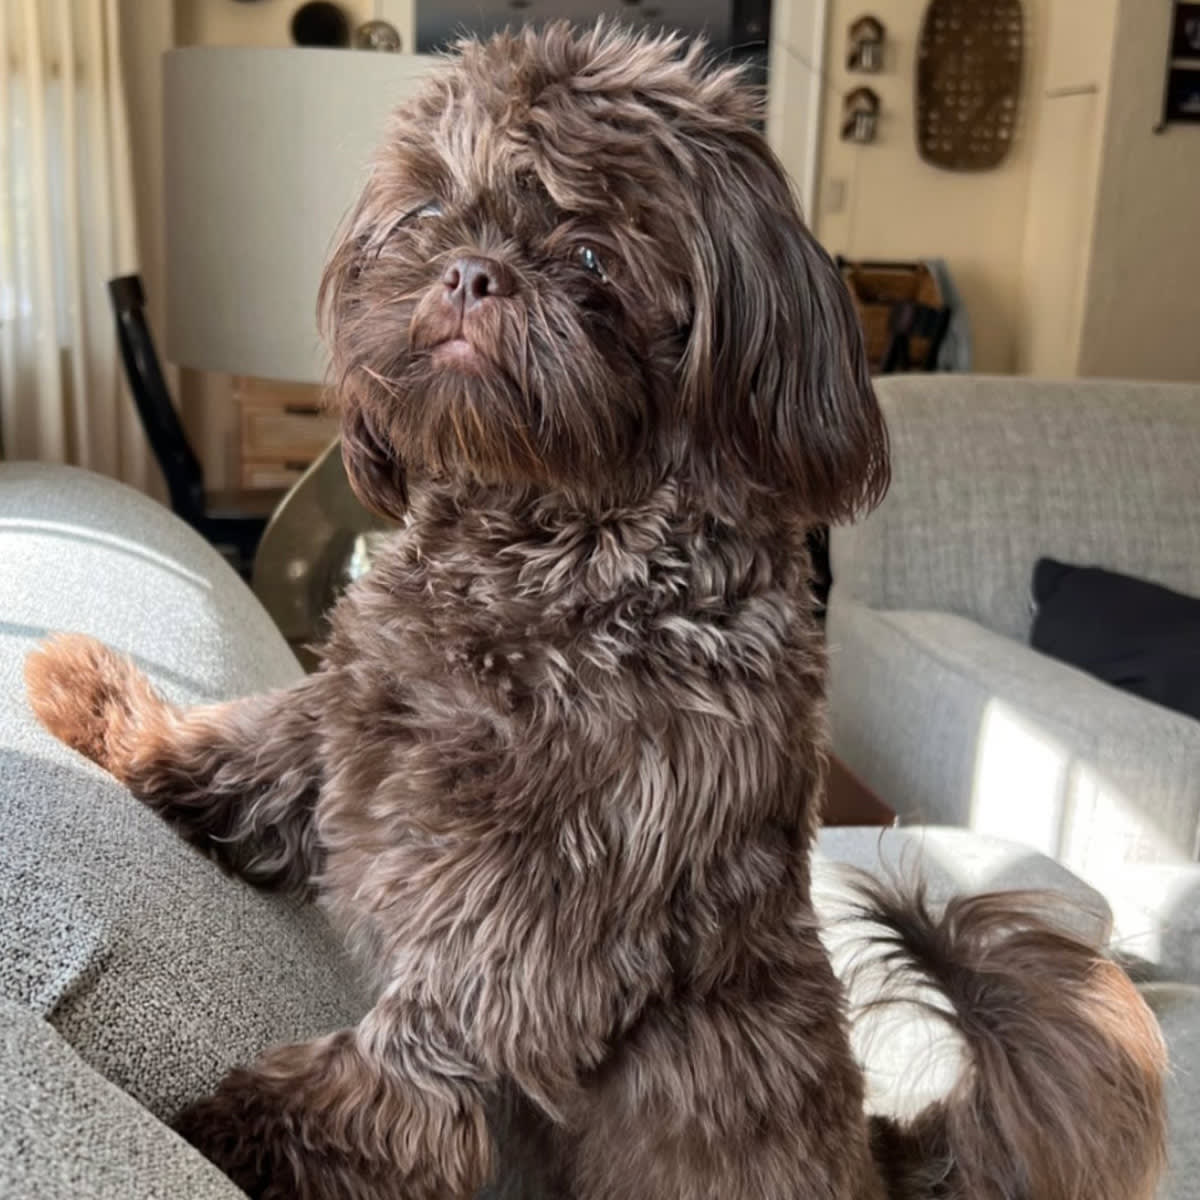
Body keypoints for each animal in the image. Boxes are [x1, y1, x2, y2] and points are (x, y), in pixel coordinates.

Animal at [25, 21, 1161, 1200]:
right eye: (430, 213)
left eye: (591, 255)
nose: (472, 271)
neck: (546, 559)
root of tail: (885, 1160)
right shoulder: (353, 710)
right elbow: (252, 747)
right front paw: (109, 714)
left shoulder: (542, 904)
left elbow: (416, 1050)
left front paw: (248, 1141)